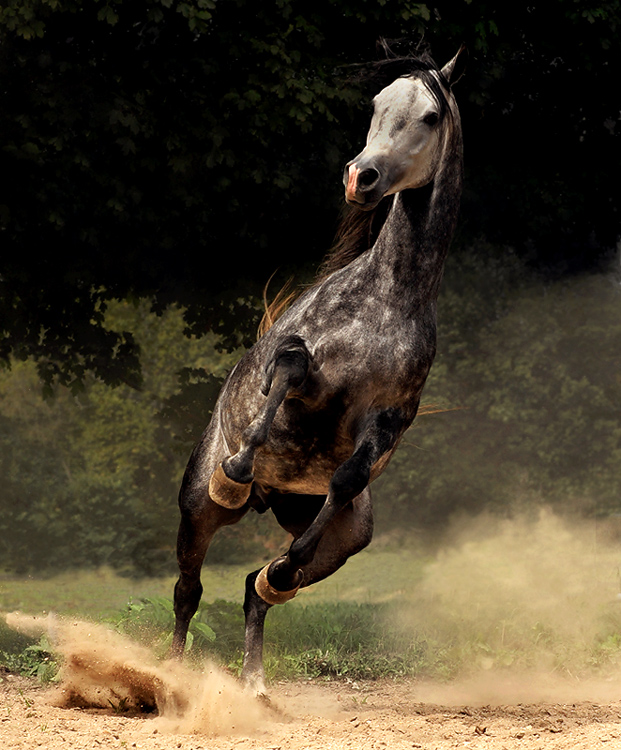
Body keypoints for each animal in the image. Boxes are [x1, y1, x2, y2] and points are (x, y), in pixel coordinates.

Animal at [170, 45, 464, 700]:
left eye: (431, 116)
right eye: (377, 103)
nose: (361, 178)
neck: (385, 300)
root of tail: (270, 501)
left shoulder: (388, 420)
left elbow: (347, 479)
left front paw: (283, 570)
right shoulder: (299, 369)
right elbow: (285, 370)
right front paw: (236, 471)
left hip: (344, 537)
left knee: (253, 590)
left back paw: (255, 678)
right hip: (196, 510)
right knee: (187, 591)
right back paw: (165, 674)